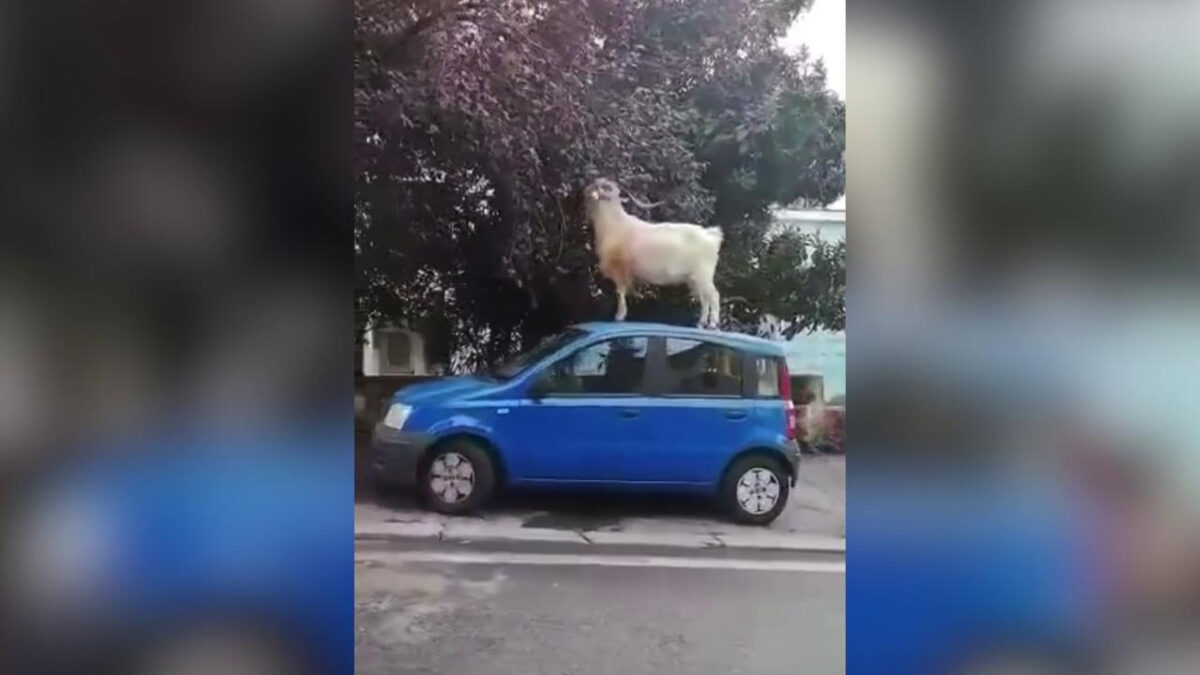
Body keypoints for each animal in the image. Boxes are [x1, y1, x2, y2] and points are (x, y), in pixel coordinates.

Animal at [584, 178, 724, 328]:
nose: (585, 191)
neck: (614, 224)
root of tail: (712, 236)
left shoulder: (620, 270)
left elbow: (620, 292)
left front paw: (619, 316)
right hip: (694, 279)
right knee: (704, 298)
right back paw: (701, 322)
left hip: (703, 274)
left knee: (714, 295)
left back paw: (712, 323)